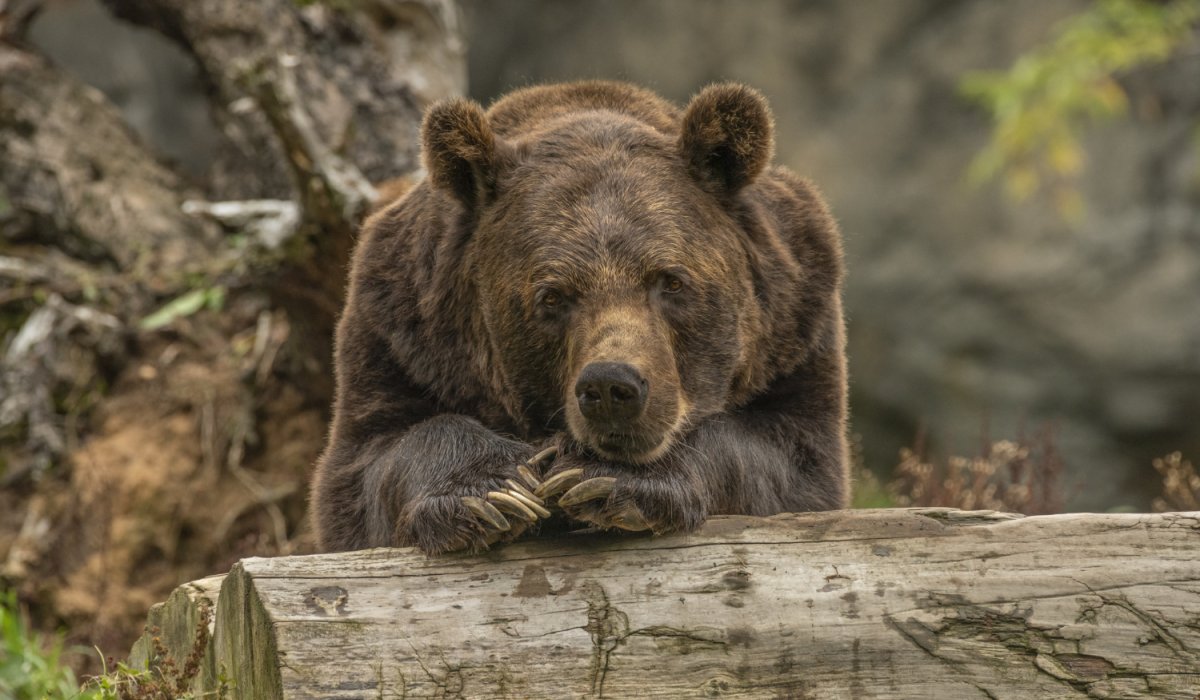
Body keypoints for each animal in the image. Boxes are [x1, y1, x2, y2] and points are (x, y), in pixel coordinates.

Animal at [314, 81, 849, 552]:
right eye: (552, 296)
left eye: (671, 281)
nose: (612, 387)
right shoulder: (401, 333)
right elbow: (370, 463)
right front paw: (494, 491)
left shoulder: (796, 327)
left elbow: (789, 460)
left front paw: (603, 478)